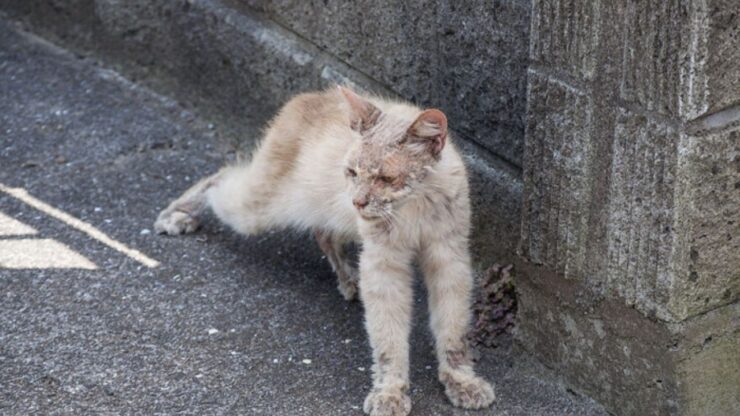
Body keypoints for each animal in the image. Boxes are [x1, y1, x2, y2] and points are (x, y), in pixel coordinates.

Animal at [153, 86, 494, 414]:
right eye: (352, 172)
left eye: (386, 178)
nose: (358, 201)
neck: (414, 207)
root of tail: (311, 97)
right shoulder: (383, 266)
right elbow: (388, 336)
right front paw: (390, 392)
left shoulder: (449, 259)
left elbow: (453, 327)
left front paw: (462, 381)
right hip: (258, 209)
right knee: (222, 175)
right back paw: (177, 214)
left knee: (322, 233)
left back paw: (348, 280)